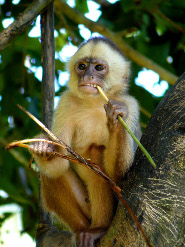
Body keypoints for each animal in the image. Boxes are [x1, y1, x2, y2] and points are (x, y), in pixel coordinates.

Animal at [30, 37, 140, 247]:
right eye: (82, 66)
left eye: (98, 68)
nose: (88, 76)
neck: (94, 103)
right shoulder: (66, 102)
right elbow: (59, 161)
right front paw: (42, 147)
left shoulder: (130, 105)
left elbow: (119, 175)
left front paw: (116, 119)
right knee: (53, 173)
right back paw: (81, 229)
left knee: (96, 154)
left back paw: (99, 229)